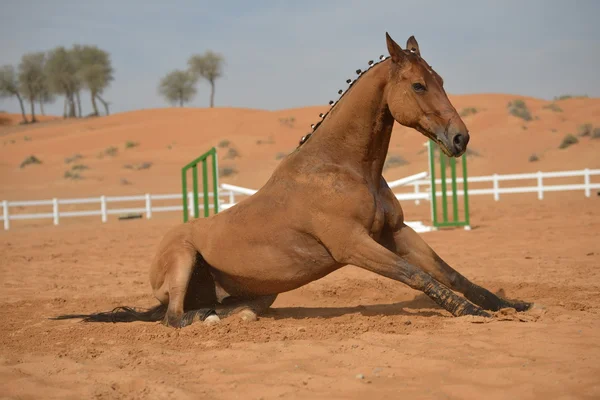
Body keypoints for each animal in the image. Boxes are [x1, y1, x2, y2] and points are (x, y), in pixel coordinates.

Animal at [54, 33, 532, 328]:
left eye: (440, 80)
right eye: (417, 85)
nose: (460, 138)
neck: (343, 168)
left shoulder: (397, 233)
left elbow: (451, 274)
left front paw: (511, 305)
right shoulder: (353, 245)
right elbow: (418, 276)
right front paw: (470, 313)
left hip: (259, 291)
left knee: (233, 308)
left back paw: (233, 316)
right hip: (183, 260)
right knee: (174, 318)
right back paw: (204, 319)